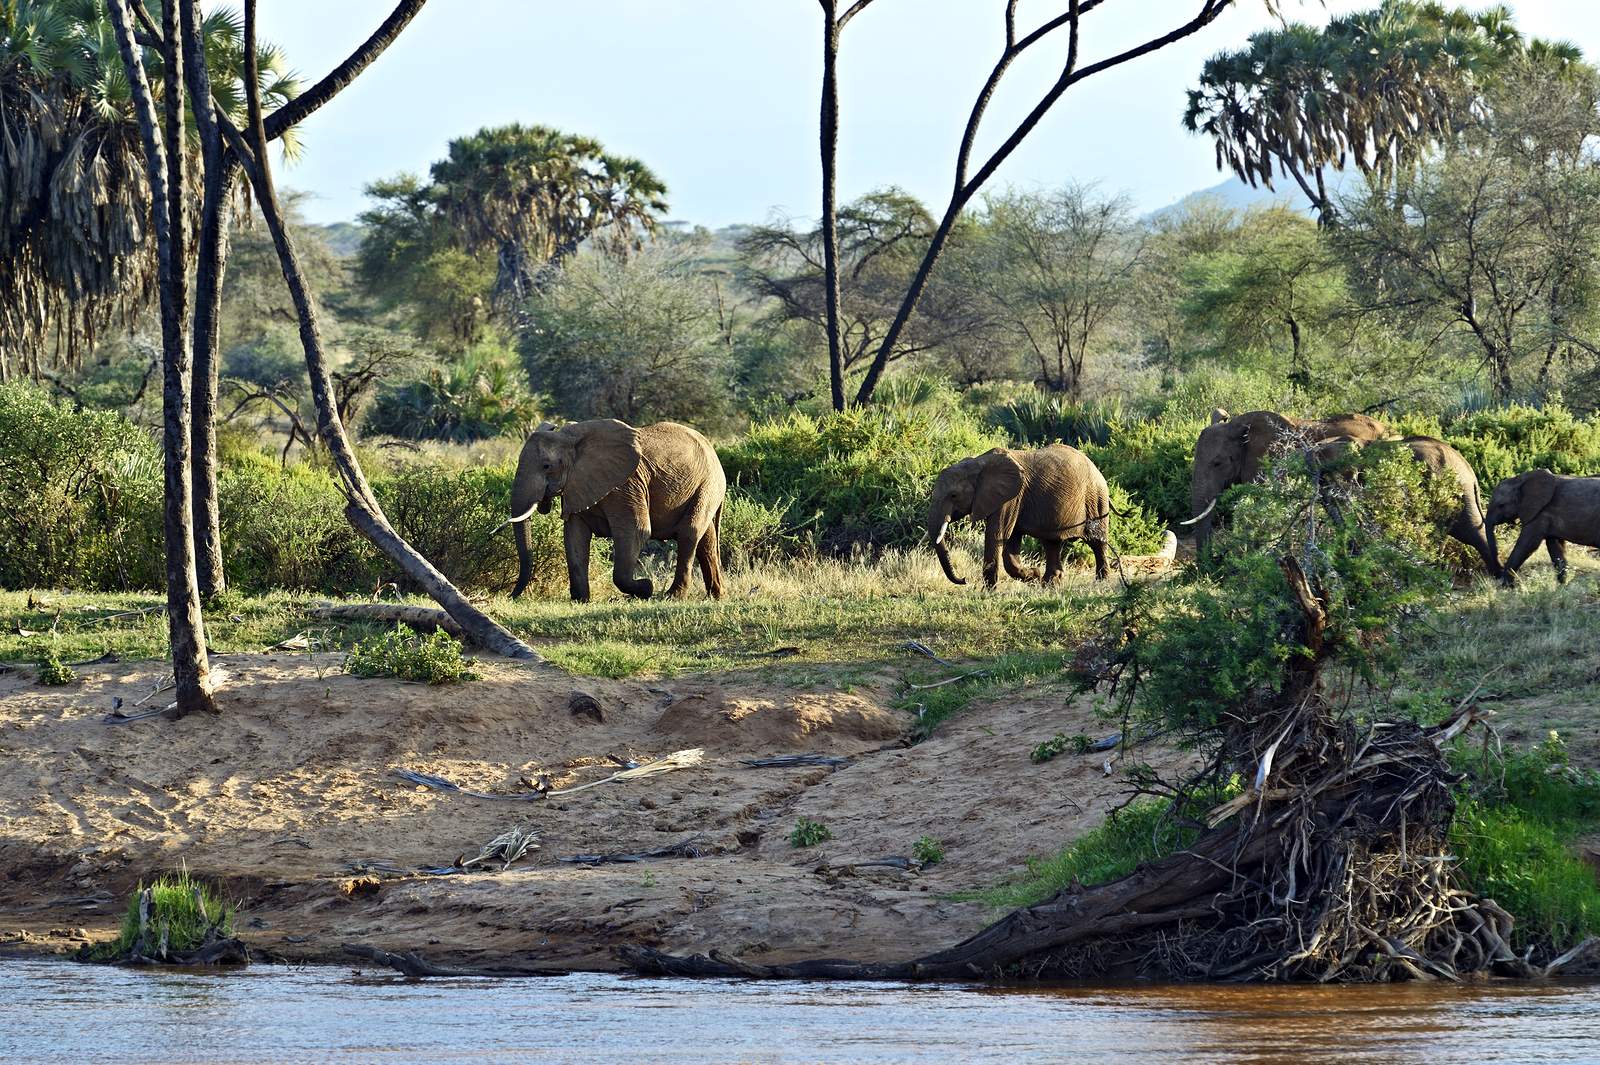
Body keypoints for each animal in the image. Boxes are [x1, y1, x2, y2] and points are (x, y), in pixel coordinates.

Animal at [505, 418, 726, 601]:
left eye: (546, 466)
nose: (511, 596)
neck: (571, 438)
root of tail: (713, 451)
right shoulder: (578, 485)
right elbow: (574, 536)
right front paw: (580, 600)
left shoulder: (625, 486)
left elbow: (635, 531)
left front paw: (646, 588)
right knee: (706, 540)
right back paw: (716, 595)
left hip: (708, 484)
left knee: (689, 533)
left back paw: (673, 596)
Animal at [928, 441, 1113, 588]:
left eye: (953, 495)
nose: (964, 579)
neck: (978, 463)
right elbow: (1011, 541)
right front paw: (1034, 575)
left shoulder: (1011, 497)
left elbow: (997, 535)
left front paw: (987, 592)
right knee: (1052, 542)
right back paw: (1049, 584)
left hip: (1095, 499)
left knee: (1097, 542)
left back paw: (1101, 581)